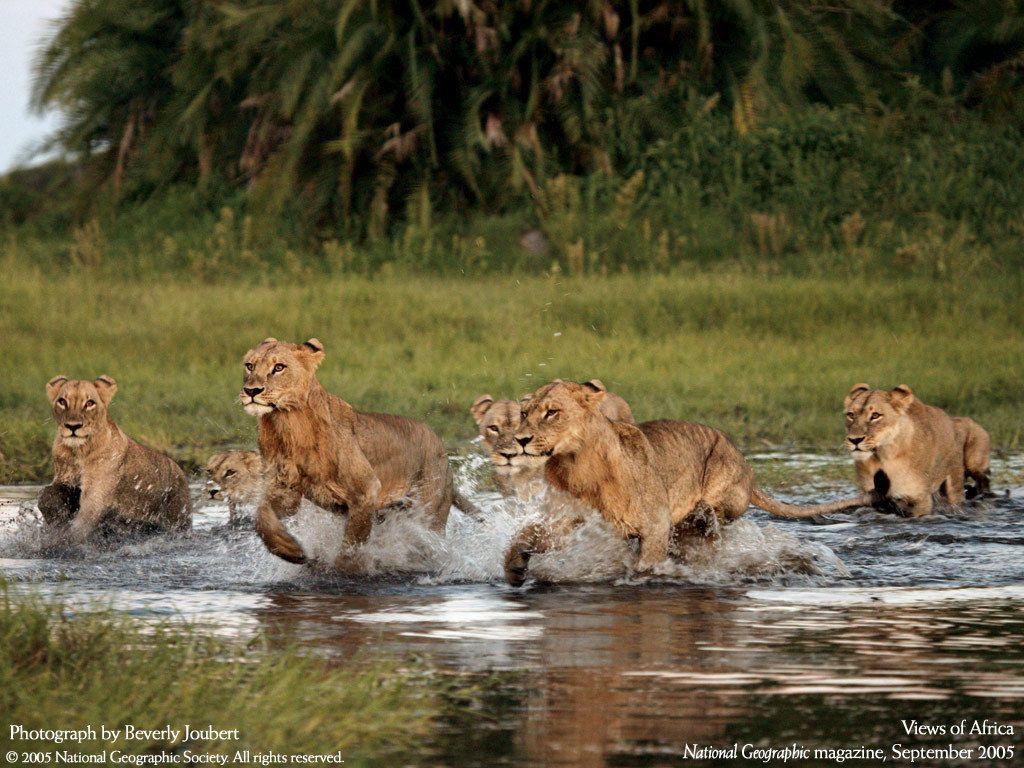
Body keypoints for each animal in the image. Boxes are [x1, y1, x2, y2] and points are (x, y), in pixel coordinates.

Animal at [38, 376, 192, 542]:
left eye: (90, 403)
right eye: (62, 401)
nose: (73, 426)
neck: (78, 452)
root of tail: (178, 468)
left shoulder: (96, 495)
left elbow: (82, 522)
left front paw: (63, 541)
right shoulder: (64, 478)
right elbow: (45, 495)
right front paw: (56, 518)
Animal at [241, 337, 477, 566]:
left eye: (279, 367)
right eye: (249, 366)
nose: (251, 391)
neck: (285, 424)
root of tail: (443, 452)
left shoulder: (366, 491)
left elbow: (352, 546)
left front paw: (344, 570)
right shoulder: (287, 491)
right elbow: (261, 515)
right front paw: (289, 549)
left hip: (427, 514)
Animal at [503, 380, 870, 585]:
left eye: (552, 412)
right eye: (524, 413)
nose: (520, 440)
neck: (577, 464)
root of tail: (747, 469)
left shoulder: (655, 525)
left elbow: (645, 566)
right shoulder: (570, 520)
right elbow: (526, 535)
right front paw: (514, 568)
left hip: (720, 481)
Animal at [844, 384, 989, 516]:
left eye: (875, 415)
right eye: (851, 415)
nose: (854, 440)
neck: (883, 456)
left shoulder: (921, 500)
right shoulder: (869, 495)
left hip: (969, 466)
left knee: (982, 481)